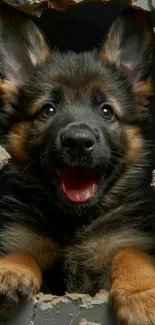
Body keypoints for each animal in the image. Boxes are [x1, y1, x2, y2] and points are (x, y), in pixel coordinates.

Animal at [0, 3, 155, 322]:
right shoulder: (25, 238)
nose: (79, 142)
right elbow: (23, 251)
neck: (74, 221)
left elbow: (130, 253)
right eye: (47, 110)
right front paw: (11, 268)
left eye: (107, 111)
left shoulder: (123, 238)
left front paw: (142, 295)